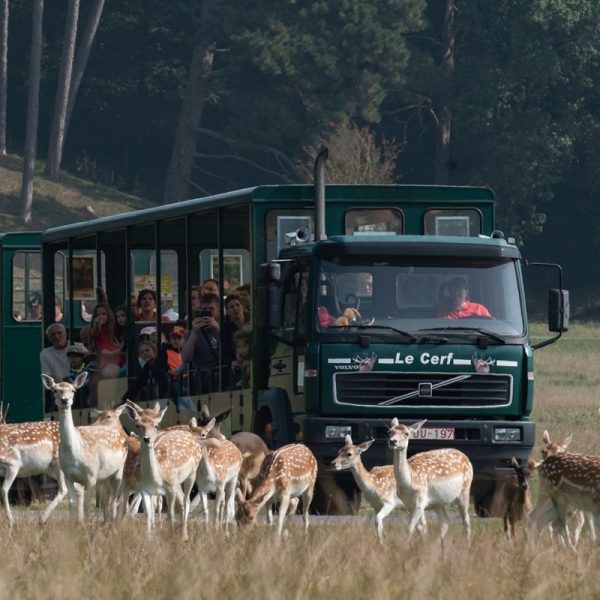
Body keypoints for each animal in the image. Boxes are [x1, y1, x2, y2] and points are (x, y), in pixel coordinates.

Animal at [41, 372, 128, 524]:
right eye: (55, 390)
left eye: (73, 390)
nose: (65, 400)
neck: (75, 453)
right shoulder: (68, 475)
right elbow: (71, 503)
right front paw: (74, 525)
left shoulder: (91, 475)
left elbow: (87, 505)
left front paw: (84, 526)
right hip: (103, 476)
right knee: (107, 497)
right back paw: (106, 522)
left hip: (119, 469)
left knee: (114, 499)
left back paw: (113, 524)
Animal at [126, 400, 202, 536]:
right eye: (138, 425)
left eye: (156, 425)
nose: (147, 438)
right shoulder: (144, 489)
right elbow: (148, 513)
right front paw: (150, 536)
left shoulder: (170, 486)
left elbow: (170, 514)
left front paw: (170, 536)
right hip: (177, 482)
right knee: (181, 501)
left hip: (192, 474)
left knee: (186, 500)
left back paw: (184, 535)